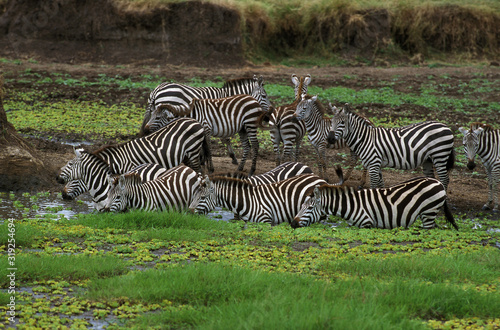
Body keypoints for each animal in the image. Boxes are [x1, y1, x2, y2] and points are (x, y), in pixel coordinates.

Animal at [143, 75, 272, 165]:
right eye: (264, 96)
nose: (268, 116)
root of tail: (156, 90)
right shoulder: (222, 117)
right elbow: (226, 138)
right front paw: (233, 157)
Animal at [188, 173, 328, 224]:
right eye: (194, 195)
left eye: (202, 197)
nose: (188, 213)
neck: (248, 201)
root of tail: (318, 177)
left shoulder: (265, 221)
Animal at [292, 175, 458, 229]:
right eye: (301, 206)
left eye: (309, 208)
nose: (292, 224)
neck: (351, 205)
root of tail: (437, 182)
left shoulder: (367, 224)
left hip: (429, 212)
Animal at [326, 103, 456, 191]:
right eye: (331, 122)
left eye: (342, 123)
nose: (329, 139)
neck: (365, 138)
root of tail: (445, 125)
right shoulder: (376, 164)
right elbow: (380, 185)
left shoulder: (373, 164)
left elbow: (373, 186)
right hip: (428, 159)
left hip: (440, 155)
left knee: (444, 179)